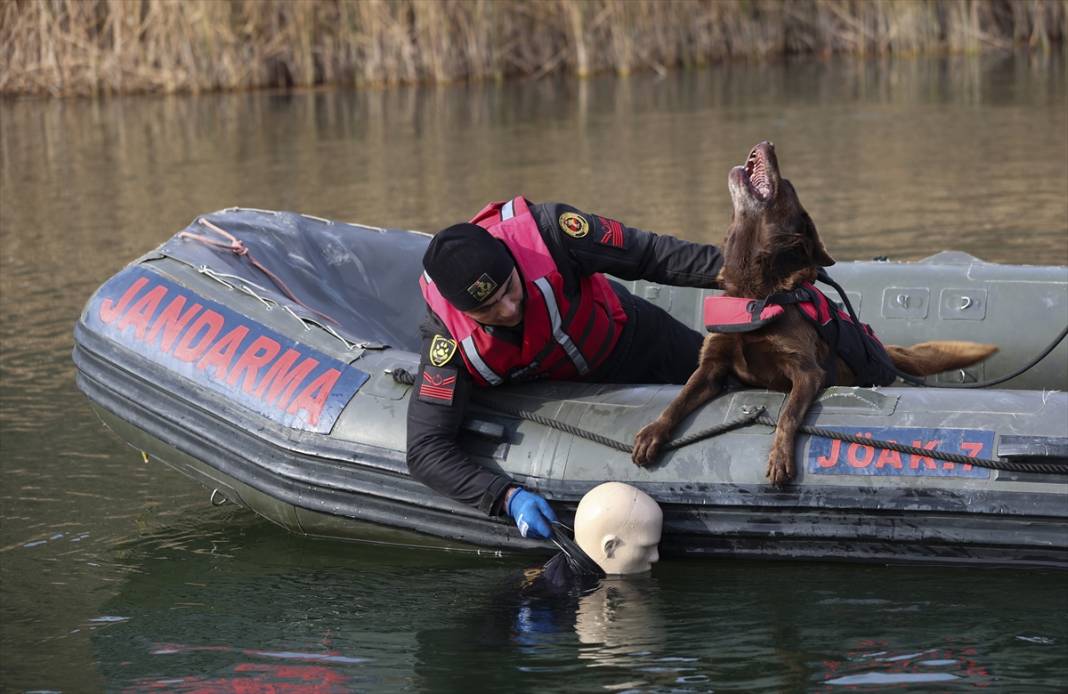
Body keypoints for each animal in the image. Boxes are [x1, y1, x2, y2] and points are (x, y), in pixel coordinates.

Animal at [627, 140, 995, 484]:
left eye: (786, 186)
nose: (769, 143)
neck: (757, 292)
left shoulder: (806, 371)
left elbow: (788, 413)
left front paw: (780, 456)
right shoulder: (712, 365)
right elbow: (679, 399)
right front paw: (652, 432)